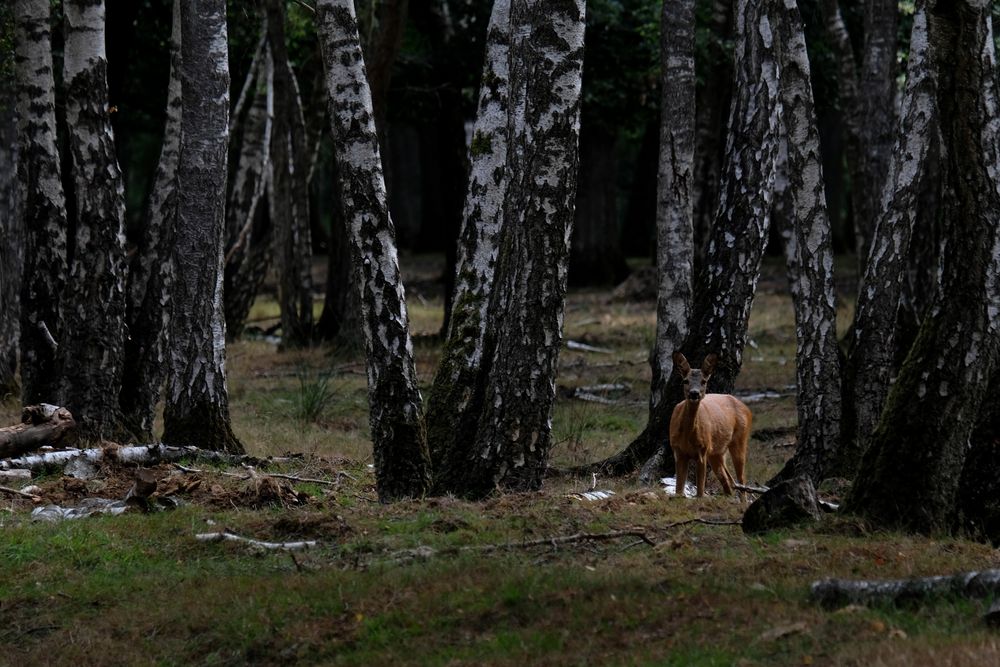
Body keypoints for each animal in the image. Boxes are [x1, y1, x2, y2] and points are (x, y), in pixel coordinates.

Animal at [672, 352, 752, 498]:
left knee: (741, 479)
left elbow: (700, 492)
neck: (687, 437)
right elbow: (679, 490)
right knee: (727, 482)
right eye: (685, 380)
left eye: (704, 381)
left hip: (740, 439)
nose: (694, 393)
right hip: (717, 452)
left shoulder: (703, 450)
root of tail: (746, 408)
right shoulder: (678, 450)